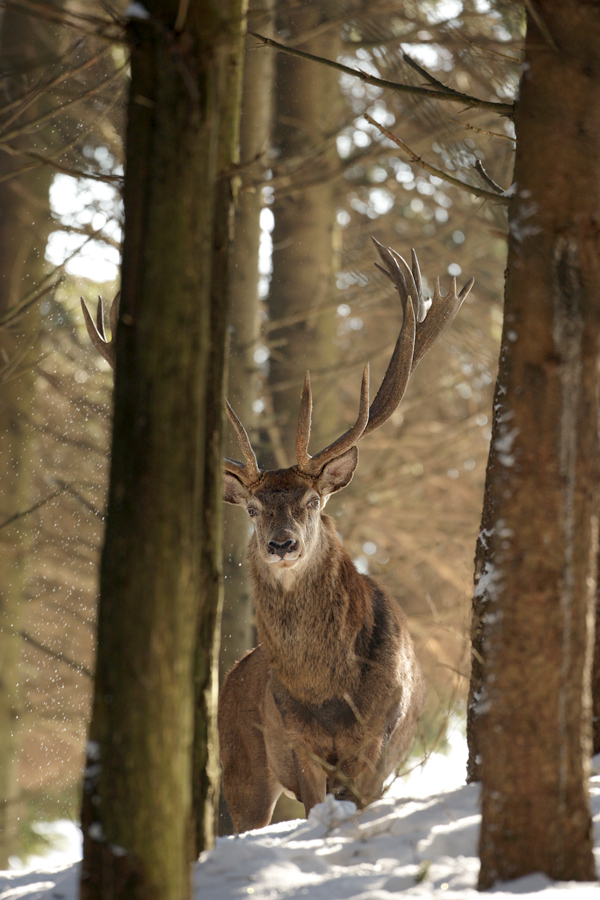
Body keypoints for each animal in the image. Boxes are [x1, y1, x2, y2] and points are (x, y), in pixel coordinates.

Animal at [81, 239, 473, 835]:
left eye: (312, 503)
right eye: (252, 508)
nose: (282, 544)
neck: (327, 691)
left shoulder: (374, 748)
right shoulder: (299, 745)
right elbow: (312, 807)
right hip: (241, 765)